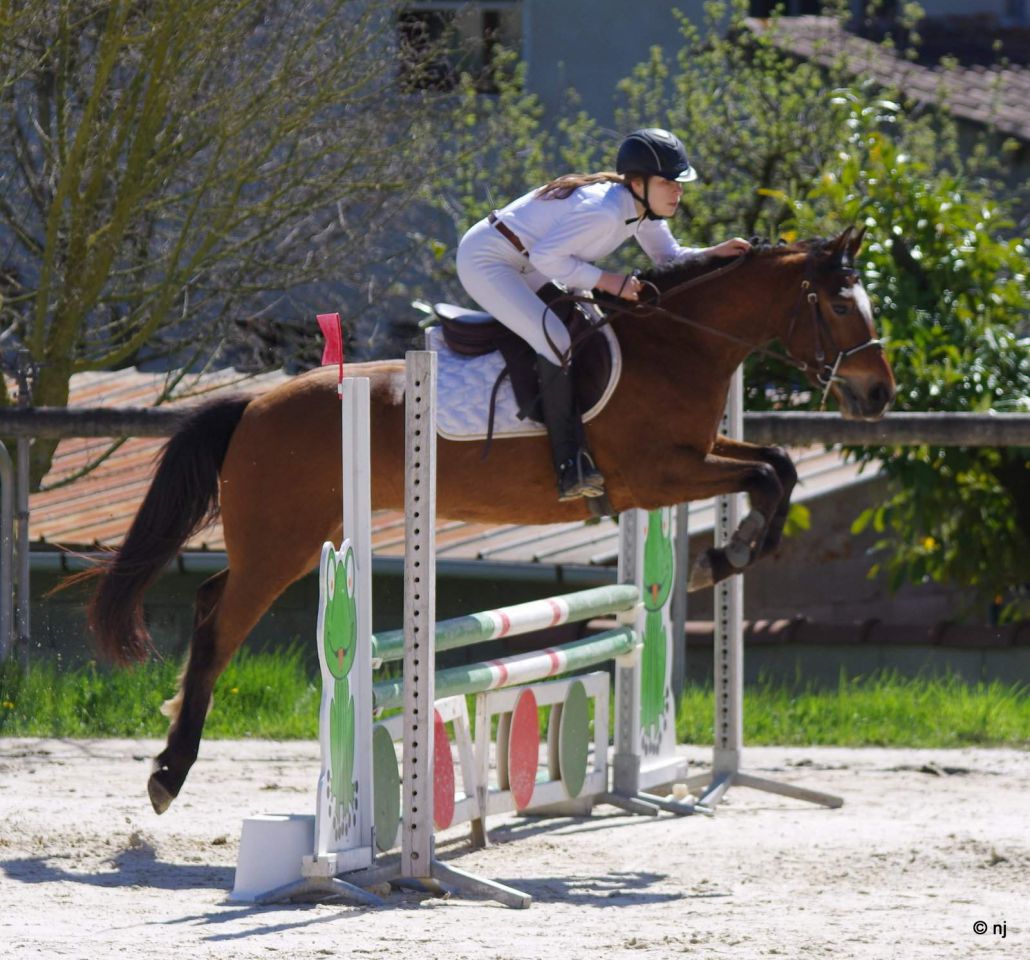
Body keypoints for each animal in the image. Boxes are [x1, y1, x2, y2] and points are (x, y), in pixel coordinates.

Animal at [86, 226, 894, 813]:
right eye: (842, 307)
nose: (878, 395)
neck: (678, 342)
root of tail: (253, 404)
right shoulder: (654, 475)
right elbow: (765, 474)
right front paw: (720, 559)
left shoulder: (694, 454)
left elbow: (777, 466)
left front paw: (725, 555)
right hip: (283, 546)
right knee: (219, 626)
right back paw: (169, 773)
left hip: (292, 540)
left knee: (209, 600)